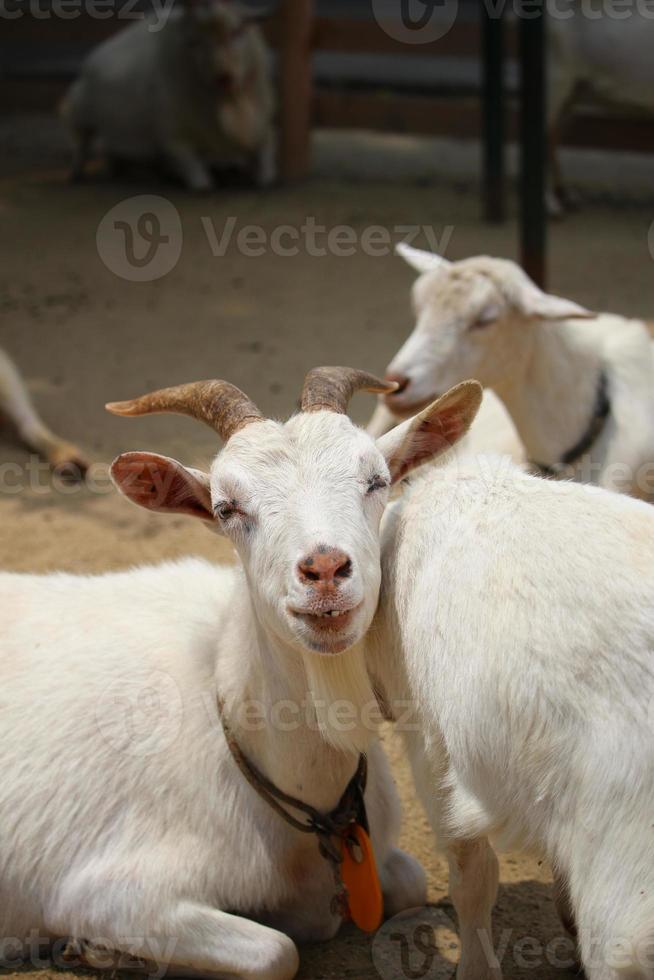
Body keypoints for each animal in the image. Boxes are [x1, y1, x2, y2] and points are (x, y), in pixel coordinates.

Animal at [0, 370, 476, 980]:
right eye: (226, 507)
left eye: (378, 480)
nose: (324, 570)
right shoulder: (109, 892)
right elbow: (276, 952)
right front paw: (98, 949)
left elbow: (410, 882)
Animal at [60, 0, 276, 190]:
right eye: (194, 42)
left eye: (237, 31)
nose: (224, 77)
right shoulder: (171, 137)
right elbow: (192, 168)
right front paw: (202, 184)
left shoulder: (261, 126)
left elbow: (266, 151)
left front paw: (263, 178)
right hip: (79, 115)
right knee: (81, 145)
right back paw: (77, 174)